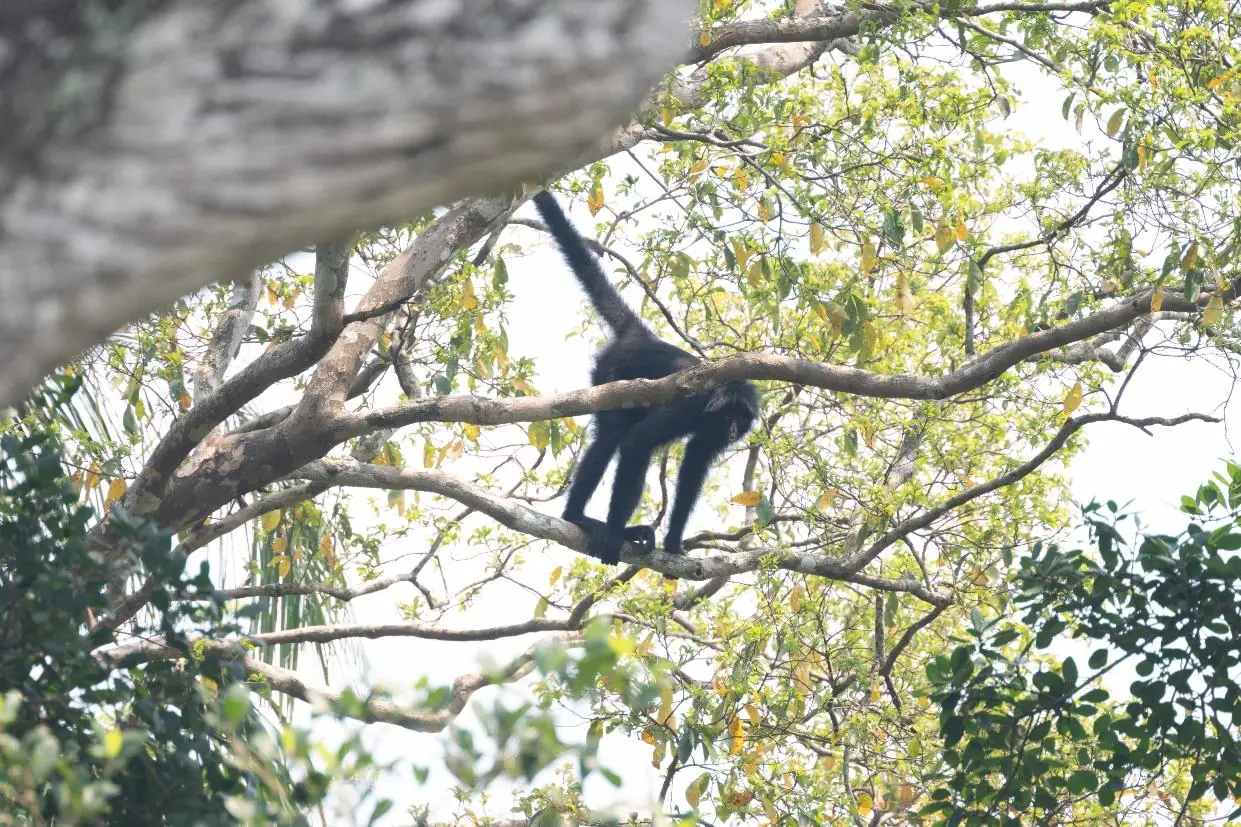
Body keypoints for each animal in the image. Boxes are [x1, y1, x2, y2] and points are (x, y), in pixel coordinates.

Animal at [532, 190, 759, 565]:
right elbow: (637, 442)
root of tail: (640, 337)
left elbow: (693, 466)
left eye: (740, 421)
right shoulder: (693, 406)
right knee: (613, 435)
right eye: (729, 416)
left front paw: (673, 545)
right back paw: (580, 518)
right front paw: (613, 534)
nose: (730, 431)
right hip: (609, 375)